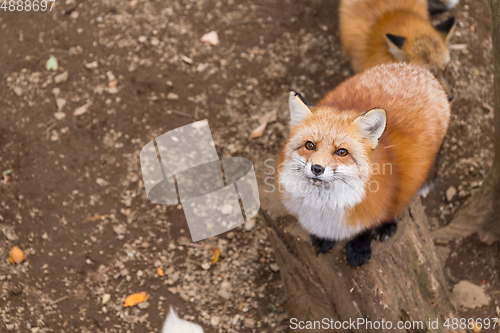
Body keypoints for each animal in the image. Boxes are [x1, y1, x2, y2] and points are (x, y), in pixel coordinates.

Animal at [276, 61, 452, 264]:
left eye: (341, 152)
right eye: (310, 145)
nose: (317, 168)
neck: (325, 207)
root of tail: (417, 69)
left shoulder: (382, 199)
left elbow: (369, 225)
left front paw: (360, 247)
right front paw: (325, 238)